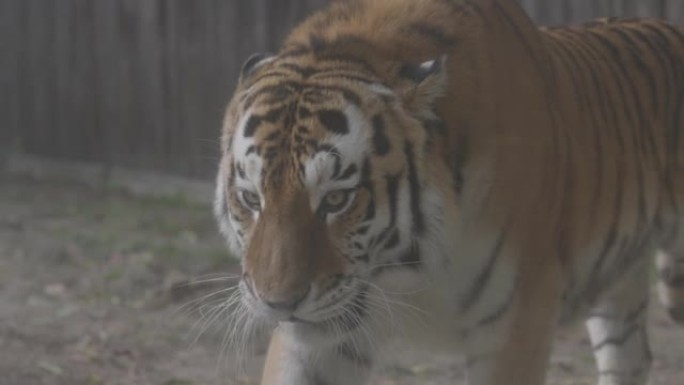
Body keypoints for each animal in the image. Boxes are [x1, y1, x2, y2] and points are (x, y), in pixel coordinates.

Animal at [212, 0, 684, 384]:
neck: (407, 266)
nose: (279, 303)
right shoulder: (319, 341)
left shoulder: (516, 322)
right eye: (252, 199)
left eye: (336, 199)